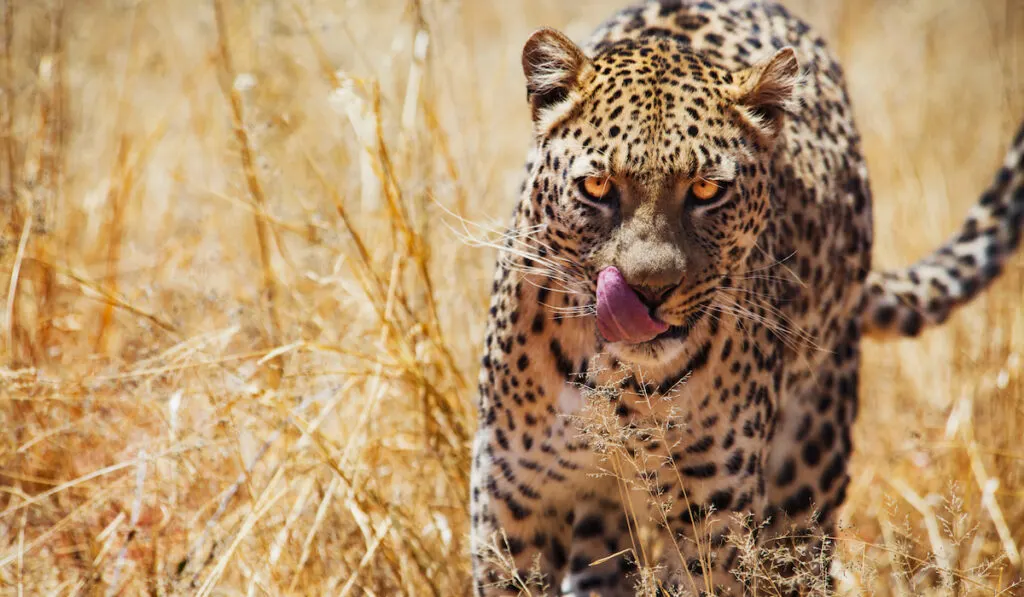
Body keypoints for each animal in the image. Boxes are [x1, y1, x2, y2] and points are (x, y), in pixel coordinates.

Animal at [468, 2, 1024, 593]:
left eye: (707, 190)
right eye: (597, 188)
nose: (648, 291)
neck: (618, 385)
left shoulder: (712, 518)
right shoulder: (514, 502)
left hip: (810, 468)